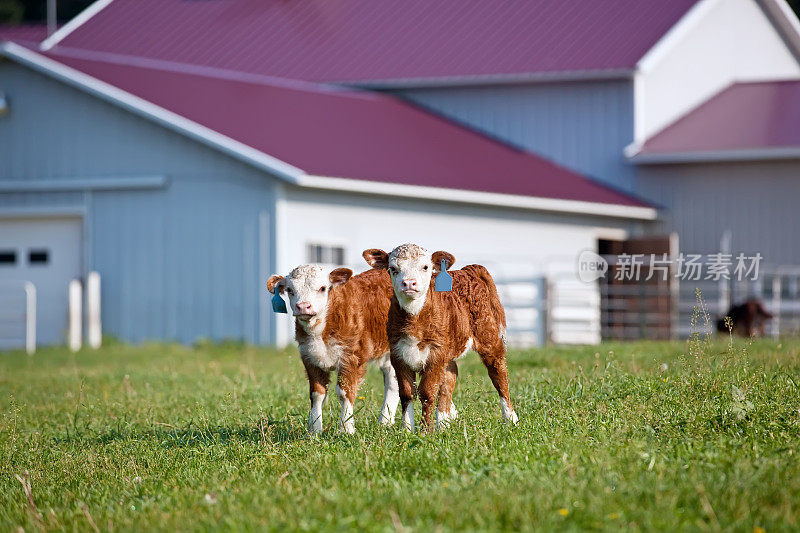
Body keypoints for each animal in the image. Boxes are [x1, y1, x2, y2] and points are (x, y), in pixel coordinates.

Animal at [266, 264, 396, 434]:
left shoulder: (350, 357)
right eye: (289, 289)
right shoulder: (310, 357)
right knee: (392, 380)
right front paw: (314, 430)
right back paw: (385, 422)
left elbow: (344, 393)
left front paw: (346, 428)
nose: (303, 306)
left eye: (322, 288)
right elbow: (316, 393)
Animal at [364, 243, 520, 430]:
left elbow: (427, 392)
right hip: (449, 350)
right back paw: (443, 423)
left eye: (425, 267)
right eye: (393, 268)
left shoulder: (435, 355)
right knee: (449, 380)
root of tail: (467, 270)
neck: (414, 319)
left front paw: (425, 430)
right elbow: (407, 393)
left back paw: (510, 418)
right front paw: (407, 429)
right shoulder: (398, 355)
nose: (408, 283)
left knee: (499, 375)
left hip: (488, 338)